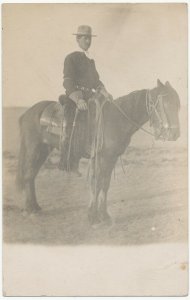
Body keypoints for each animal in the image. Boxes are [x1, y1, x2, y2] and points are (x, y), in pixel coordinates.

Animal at [15, 79, 180, 225]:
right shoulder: (102, 158)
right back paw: (29, 210)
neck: (116, 119)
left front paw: (104, 216)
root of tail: (27, 113)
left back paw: (35, 207)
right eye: (166, 104)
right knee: (28, 175)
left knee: (32, 176)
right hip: (33, 148)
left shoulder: (111, 158)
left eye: (178, 105)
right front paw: (93, 217)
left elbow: (104, 184)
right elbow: (97, 182)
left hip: (43, 150)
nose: (175, 135)